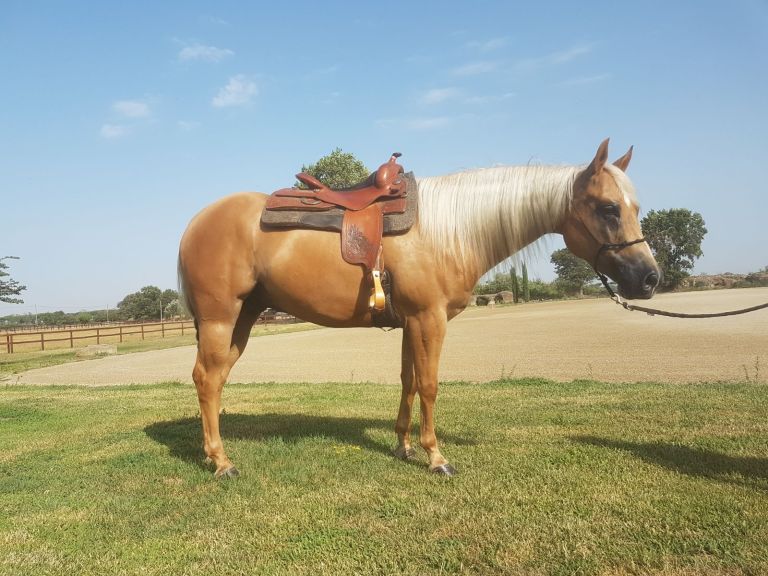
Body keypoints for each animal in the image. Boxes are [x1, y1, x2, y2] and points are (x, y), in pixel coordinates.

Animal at [178, 138, 660, 478]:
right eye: (609, 208)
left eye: (635, 206)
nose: (649, 278)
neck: (448, 231)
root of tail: (195, 223)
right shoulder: (430, 319)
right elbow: (429, 385)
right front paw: (436, 456)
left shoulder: (410, 321)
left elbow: (408, 382)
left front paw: (404, 446)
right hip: (221, 319)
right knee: (206, 378)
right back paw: (222, 462)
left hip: (242, 319)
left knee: (214, 380)